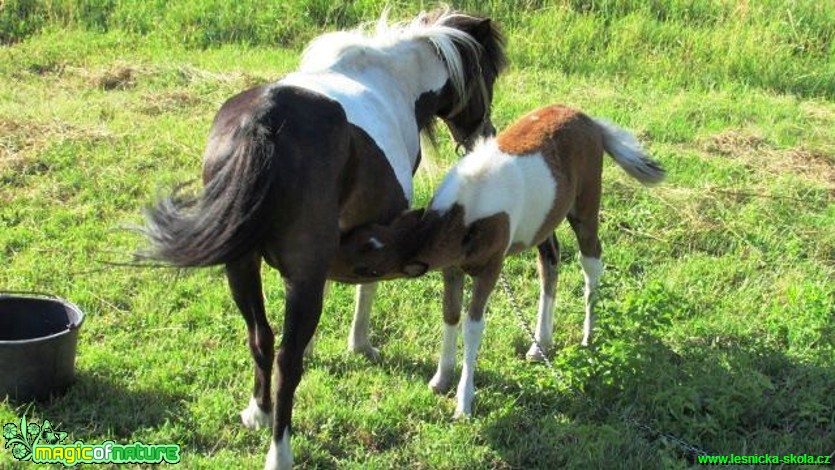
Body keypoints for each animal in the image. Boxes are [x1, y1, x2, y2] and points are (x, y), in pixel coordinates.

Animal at [141, 9, 506, 468]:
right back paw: (279, 452)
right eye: (487, 74)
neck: (394, 80)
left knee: (261, 337)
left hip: (240, 266)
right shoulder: (377, 228)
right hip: (298, 276)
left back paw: (258, 412)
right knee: (286, 362)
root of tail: (264, 121)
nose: (486, 134)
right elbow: (366, 287)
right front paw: (360, 344)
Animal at [340, 103, 668, 418]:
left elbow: (473, 327)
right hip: (542, 223)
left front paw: (464, 403)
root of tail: (588, 119)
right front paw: (440, 379)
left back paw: (589, 337)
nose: (330, 261)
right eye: (358, 234)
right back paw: (540, 344)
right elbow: (450, 315)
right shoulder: (451, 268)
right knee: (550, 263)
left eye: (369, 268)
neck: (464, 215)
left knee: (591, 263)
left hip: (586, 207)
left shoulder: (491, 268)